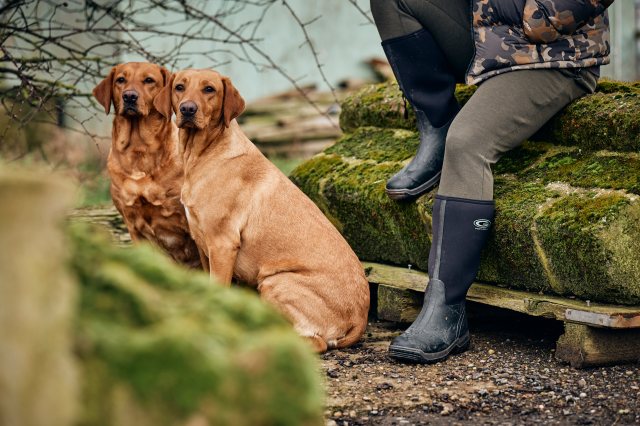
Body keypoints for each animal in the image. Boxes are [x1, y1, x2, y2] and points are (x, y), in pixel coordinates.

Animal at [154, 68, 370, 352]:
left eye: (209, 89)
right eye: (179, 87)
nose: (187, 109)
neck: (204, 152)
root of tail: (360, 317)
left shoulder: (222, 245)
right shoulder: (203, 244)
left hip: (274, 281)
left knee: (315, 343)